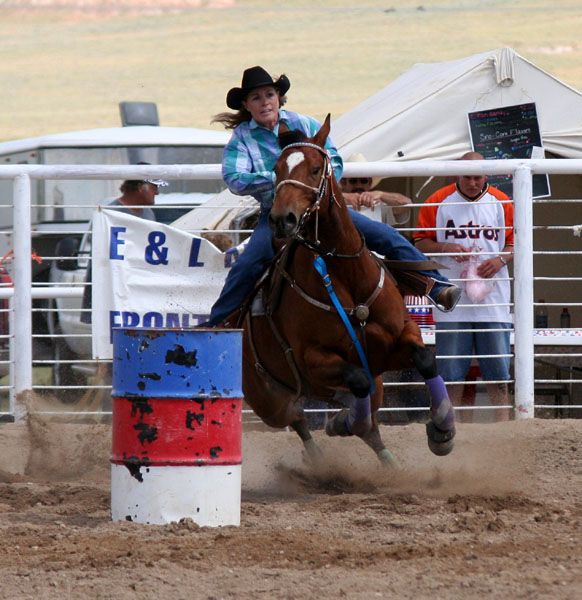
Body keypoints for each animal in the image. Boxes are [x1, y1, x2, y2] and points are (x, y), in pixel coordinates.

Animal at [237, 116, 456, 464]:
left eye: (316, 168)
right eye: (276, 169)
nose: (282, 219)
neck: (348, 277)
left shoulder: (396, 340)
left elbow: (424, 359)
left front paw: (442, 431)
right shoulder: (313, 361)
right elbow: (356, 378)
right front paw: (346, 421)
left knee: (369, 425)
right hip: (268, 400)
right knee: (298, 418)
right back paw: (320, 457)